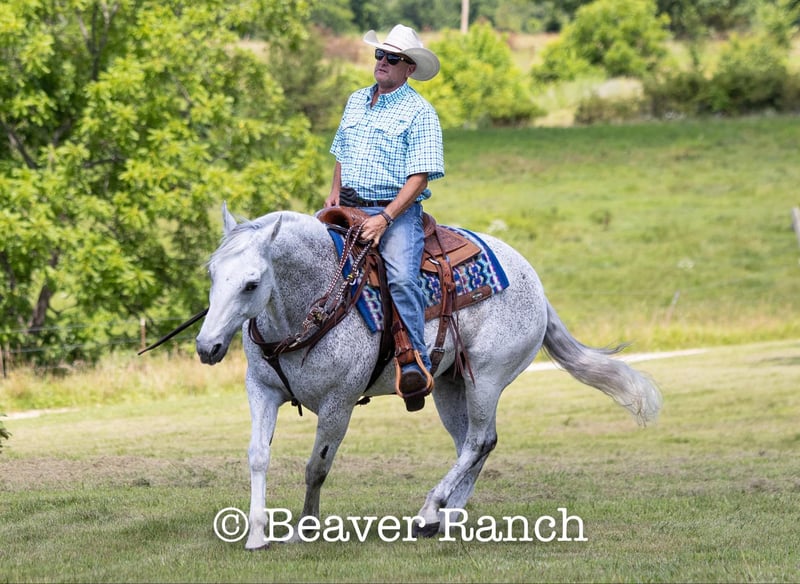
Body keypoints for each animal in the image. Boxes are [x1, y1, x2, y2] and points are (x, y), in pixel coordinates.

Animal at [195, 203, 662, 550]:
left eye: (251, 283)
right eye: (212, 274)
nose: (206, 346)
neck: (309, 304)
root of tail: (535, 284)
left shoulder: (338, 404)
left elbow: (316, 467)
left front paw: (303, 530)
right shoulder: (262, 390)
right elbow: (258, 454)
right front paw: (257, 534)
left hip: (486, 378)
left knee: (479, 441)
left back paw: (429, 512)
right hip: (451, 385)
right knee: (471, 445)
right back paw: (447, 518)